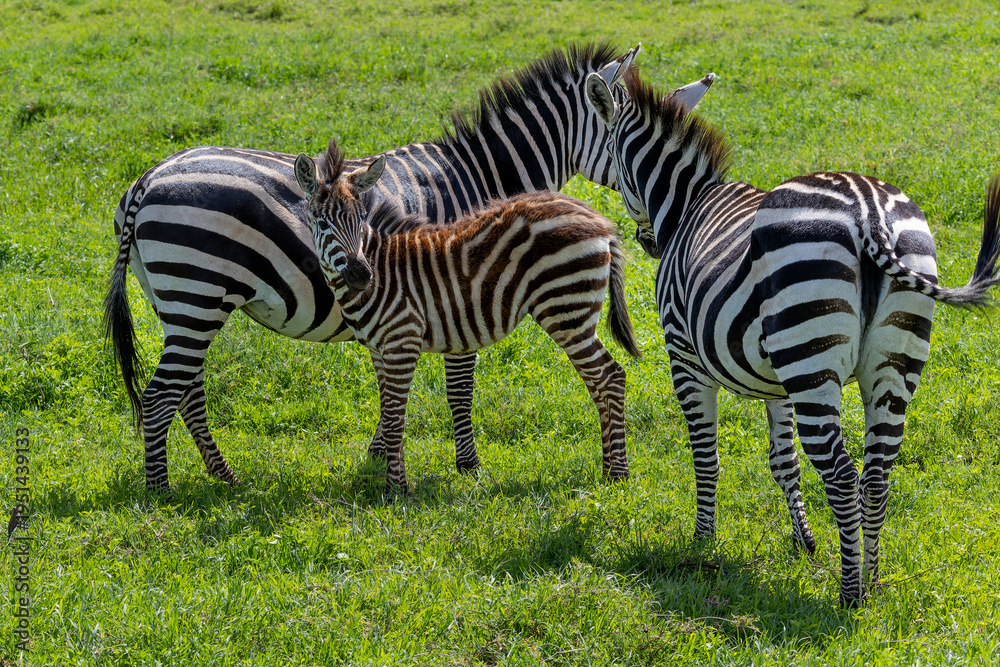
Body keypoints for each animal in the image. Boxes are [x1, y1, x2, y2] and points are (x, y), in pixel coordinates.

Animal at [291, 140, 641, 493]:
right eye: (321, 223)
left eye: (361, 219)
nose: (361, 275)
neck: (383, 268)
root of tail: (598, 220)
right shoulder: (380, 350)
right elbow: (389, 414)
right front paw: (393, 482)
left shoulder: (403, 341)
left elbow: (394, 417)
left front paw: (396, 489)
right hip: (573, 313)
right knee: (599, 382)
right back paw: (607, 467)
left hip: (567, 308)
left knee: (610, 377)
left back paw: (619, 473)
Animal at [585, 67, 1000, 606]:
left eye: (611, 159)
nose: (648, 242)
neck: (690, 203)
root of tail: (868, 212)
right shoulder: (776, 380)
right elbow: (784, 461)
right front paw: (804, 541)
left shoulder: (684, 358)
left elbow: (706, 456)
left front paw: (702, 542)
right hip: (888, 364)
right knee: (877, 474)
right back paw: (873, 582)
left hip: (812, 364)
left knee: (842, 474)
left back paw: (850, 594)